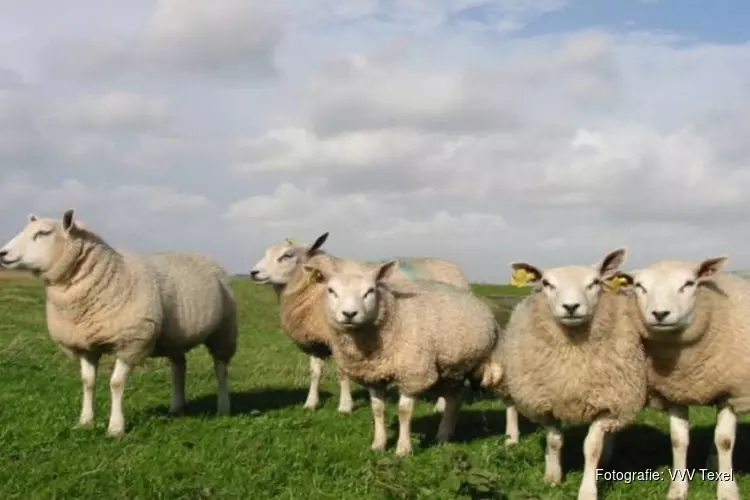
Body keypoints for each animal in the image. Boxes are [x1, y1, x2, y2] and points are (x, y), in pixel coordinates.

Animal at [0, 209, 238, 436]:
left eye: (44, 233)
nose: (3, 253)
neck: (108, 274)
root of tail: (204, 256)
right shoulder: (85, 345)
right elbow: (87, 382)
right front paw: (85, 421)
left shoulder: (131, 341)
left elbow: (116, 384)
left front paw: (116, 428)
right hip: (174, 337)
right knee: (179, 367)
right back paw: (177, 407)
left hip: (223, 331)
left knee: (221, 369)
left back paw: (223, 408)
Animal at [253, 234, 476, 414]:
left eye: (287, 255)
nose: (253, 273)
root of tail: (455, 268)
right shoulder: (316, 340)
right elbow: (315, 373)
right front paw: (310, 403)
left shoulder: (340, 340)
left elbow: (342, 374)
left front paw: (345, 406)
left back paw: (441, 405)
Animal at [302, 256, 506, 456]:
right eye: (331, 290)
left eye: (370, 291)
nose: (349, 314)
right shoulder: (373, 374)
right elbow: (377, 409)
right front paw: (379, 444)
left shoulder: (413, 373)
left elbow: (404, 411)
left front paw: (403, 449)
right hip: (447, 369)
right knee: (454, 398)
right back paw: (445, 434)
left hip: (464, 364)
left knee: (455, 398)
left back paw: (443, 434)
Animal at [502, 249, 648, 500]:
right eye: (546, 283)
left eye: (595, 282)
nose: (571, 307)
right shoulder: (548, 403)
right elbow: (554, 441)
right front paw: (552, 477)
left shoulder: (608, 404)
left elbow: (592, 447)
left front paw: (588, 490)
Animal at [616, 258, 748, 500]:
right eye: (639, 286)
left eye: (689, 284)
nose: (660, 313)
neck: (689, 365)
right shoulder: (675, 392)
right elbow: (678, 441)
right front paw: (677, 489)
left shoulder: (730, 392)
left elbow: (724, 441)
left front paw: (727, 490)